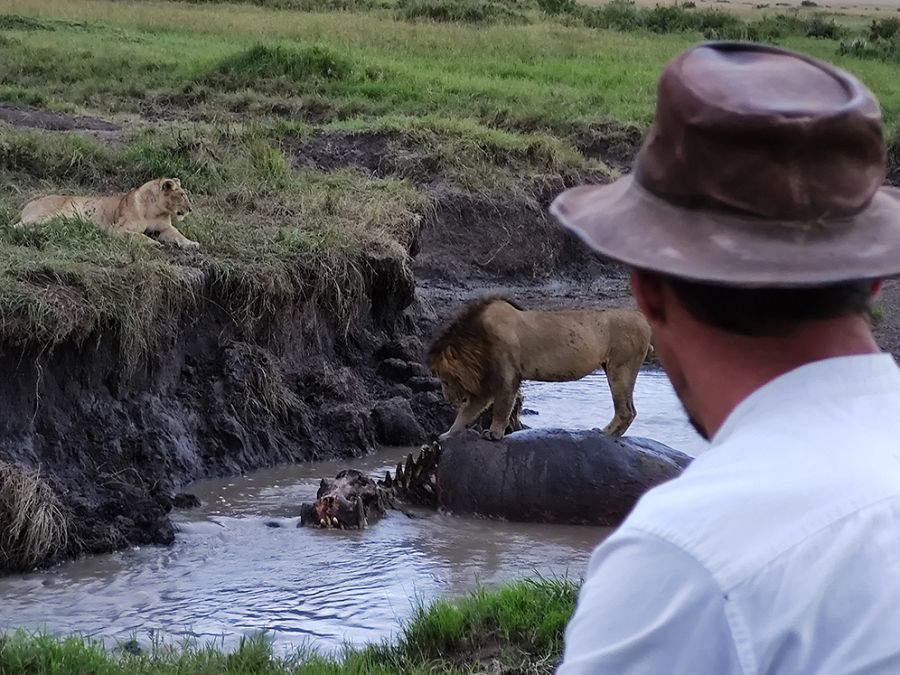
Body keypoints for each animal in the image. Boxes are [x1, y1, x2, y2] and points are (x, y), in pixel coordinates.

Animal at [14, 177, 200, 251]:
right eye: (181, 194)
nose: (190, 209)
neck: (155, 209)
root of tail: (29, 203)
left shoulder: (164, 228)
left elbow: (178, 234)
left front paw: (192, 243)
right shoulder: (116, 229)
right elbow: (137, 235)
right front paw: (154, 243)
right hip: (51, 215)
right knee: (16, 226)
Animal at [426, 298, 652, 440]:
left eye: (445, 379)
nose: (449, 400)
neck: (477, 342)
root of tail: (643, 319)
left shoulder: (508, 377)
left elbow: (501, 408)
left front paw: (494, 434)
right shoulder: (486, 384)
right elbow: (467, 413)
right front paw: (447, 435)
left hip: (620, 367)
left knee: (626, 411)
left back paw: (605, 433)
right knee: (629, 410)